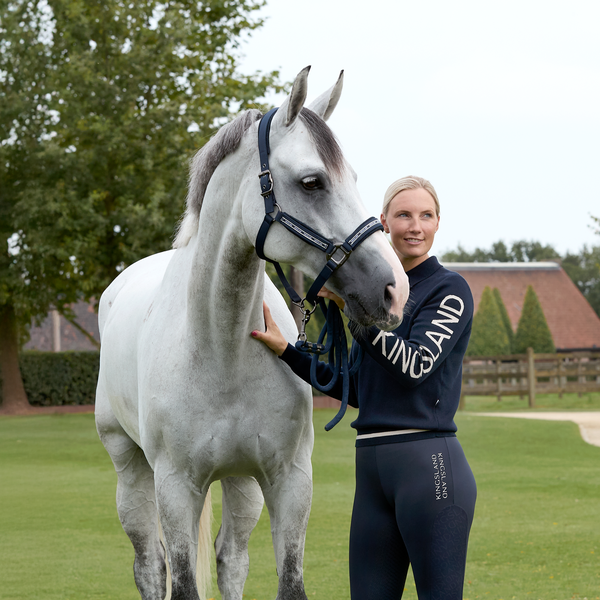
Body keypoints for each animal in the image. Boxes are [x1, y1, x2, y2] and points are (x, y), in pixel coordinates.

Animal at [95, 67, 408, 600]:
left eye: (353, 178)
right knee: (150, 567)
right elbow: (182, 583)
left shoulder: (289, 481)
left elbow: (287, 582)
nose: (393, 289)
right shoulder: (175, 487)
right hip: (130, 470)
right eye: (311, 181)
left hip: (241, 481)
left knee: (231, 559)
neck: (220, 350)